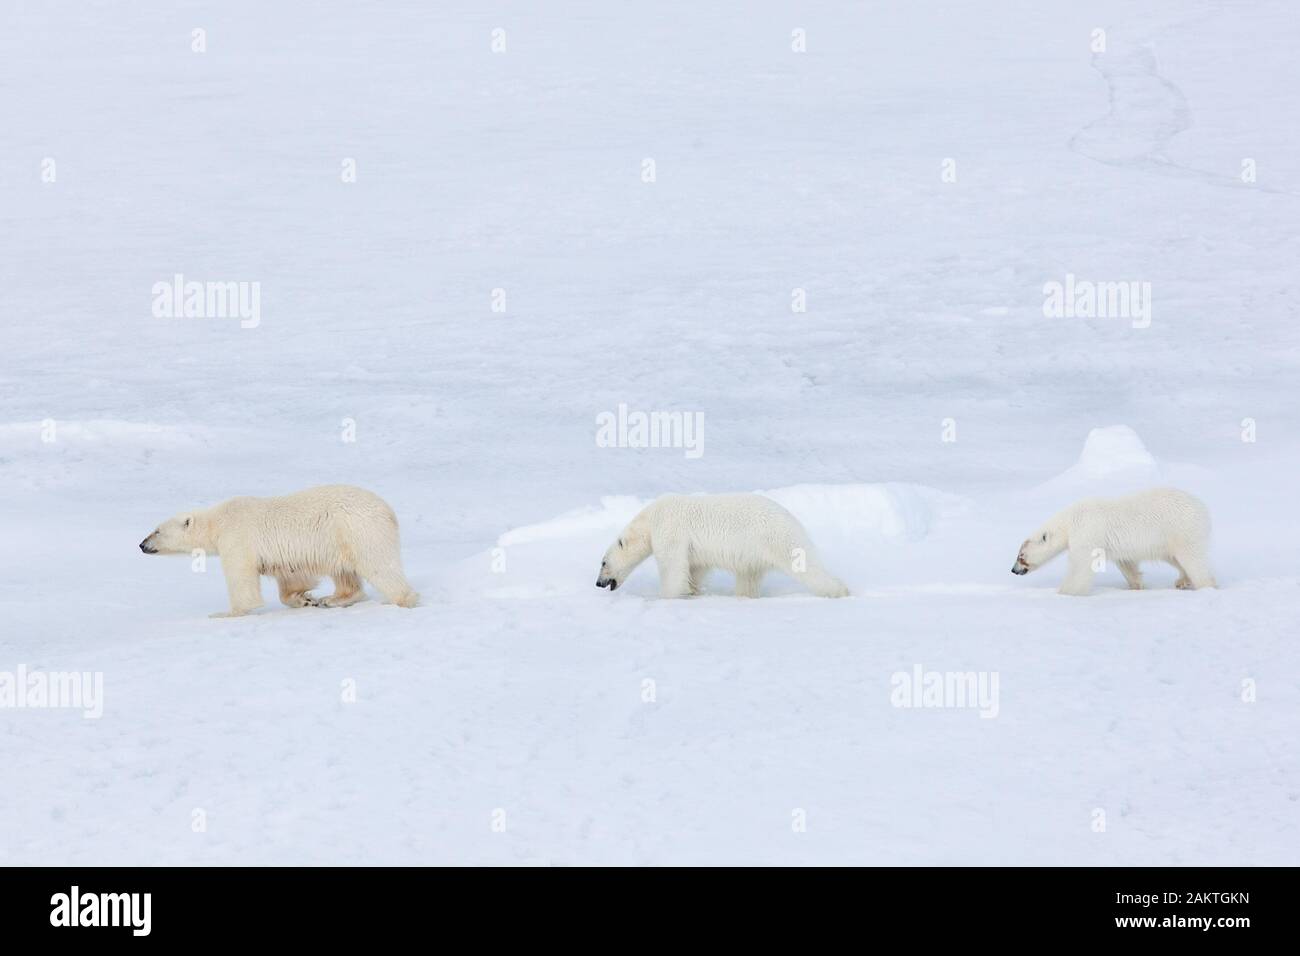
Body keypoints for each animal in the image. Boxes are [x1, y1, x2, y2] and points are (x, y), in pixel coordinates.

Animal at [139, 484, 419, 617]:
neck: (218, 521)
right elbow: (292, 577)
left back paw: (403, 599)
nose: (142, 544)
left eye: (157, 530)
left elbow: (242, 579)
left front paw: (225, 613)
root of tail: (388, 510)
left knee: (378, 565)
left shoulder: (237, 537)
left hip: (358, 530)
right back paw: (332, 599)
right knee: (344, 572)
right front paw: (305, 599)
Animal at [595, 493, 850, 598]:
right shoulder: (693, 549)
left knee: (806, 567)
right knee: (748, 579)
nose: (598, 583)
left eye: (603, 562)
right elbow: (695, 568)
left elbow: (672, 568)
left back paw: (839, 591)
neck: (649, 520)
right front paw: (693, 591)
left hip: (776, 538)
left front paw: (667, 596)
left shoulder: (670, 530)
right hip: (754, 554)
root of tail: (793, 519)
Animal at [1011, 487, 1215, 596]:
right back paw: (1182, 581)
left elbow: (1080, 565)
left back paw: (1206, 585)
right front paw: (1136, 586)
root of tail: (1202, 507)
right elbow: (1127, 564)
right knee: (1175, 558)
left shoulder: (1086, 532)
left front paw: (1065, 592)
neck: (1070, 520)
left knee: (1193, 559)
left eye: (1021, 555)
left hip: (1182, 530)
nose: (1014, 570)